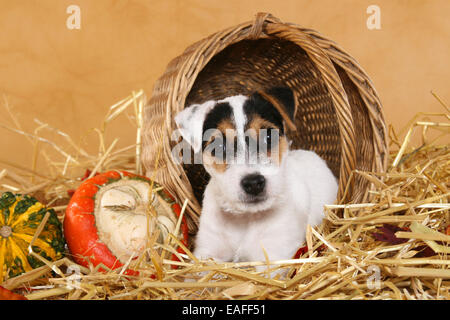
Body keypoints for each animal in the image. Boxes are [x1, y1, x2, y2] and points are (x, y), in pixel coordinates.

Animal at [174, 86, 336, 268]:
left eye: (268, 137)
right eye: (220, 146)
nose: (253, 183)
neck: (245, 219)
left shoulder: (273, 258)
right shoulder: (207, 254)